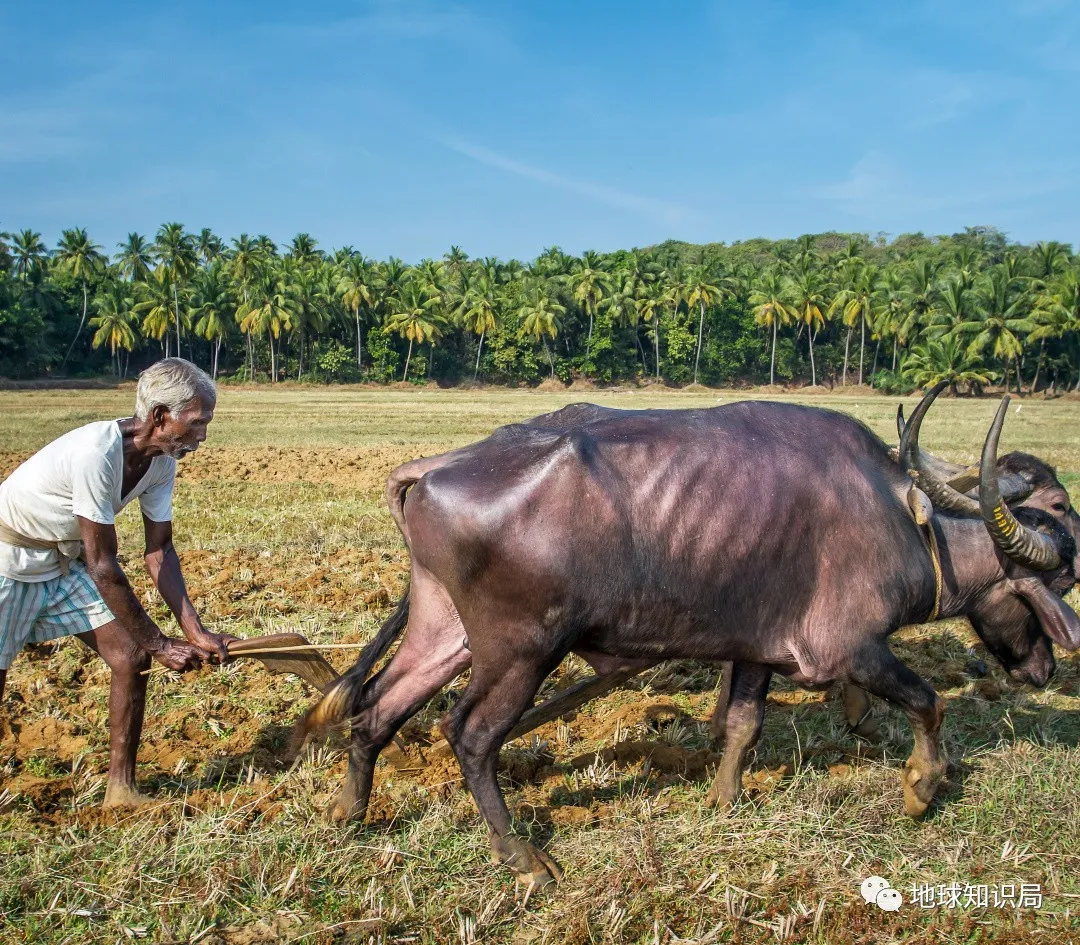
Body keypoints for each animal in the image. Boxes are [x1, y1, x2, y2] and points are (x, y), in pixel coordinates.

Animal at [306, 390, 1080, 885]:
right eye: (1059, 513)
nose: (1046, 670)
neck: (908, 516)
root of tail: (437, 467)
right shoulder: (853, 648)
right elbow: (927, 701)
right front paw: (922, 785)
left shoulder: (758, 650)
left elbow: (742, 723)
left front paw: (725, 798)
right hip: (519, 651)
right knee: (467, 734)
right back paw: (520, 855)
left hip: (445, 634)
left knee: (375, 710)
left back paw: (349, 812)